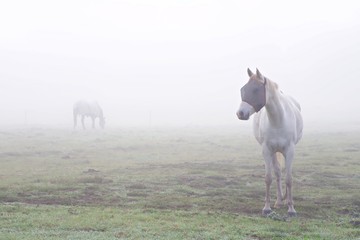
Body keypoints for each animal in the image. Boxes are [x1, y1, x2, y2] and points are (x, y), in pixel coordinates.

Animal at [236, 68, 304, 217]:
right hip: (274, 152)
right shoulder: (267, 150)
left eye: (255, 89)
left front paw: (291, 209)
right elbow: (268, 178)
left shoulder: (290, 151)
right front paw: (266, 208)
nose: (240, 113)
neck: (278, 120)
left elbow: (289, 179)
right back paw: (278, 201)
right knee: (278, 173)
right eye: (243, 89)